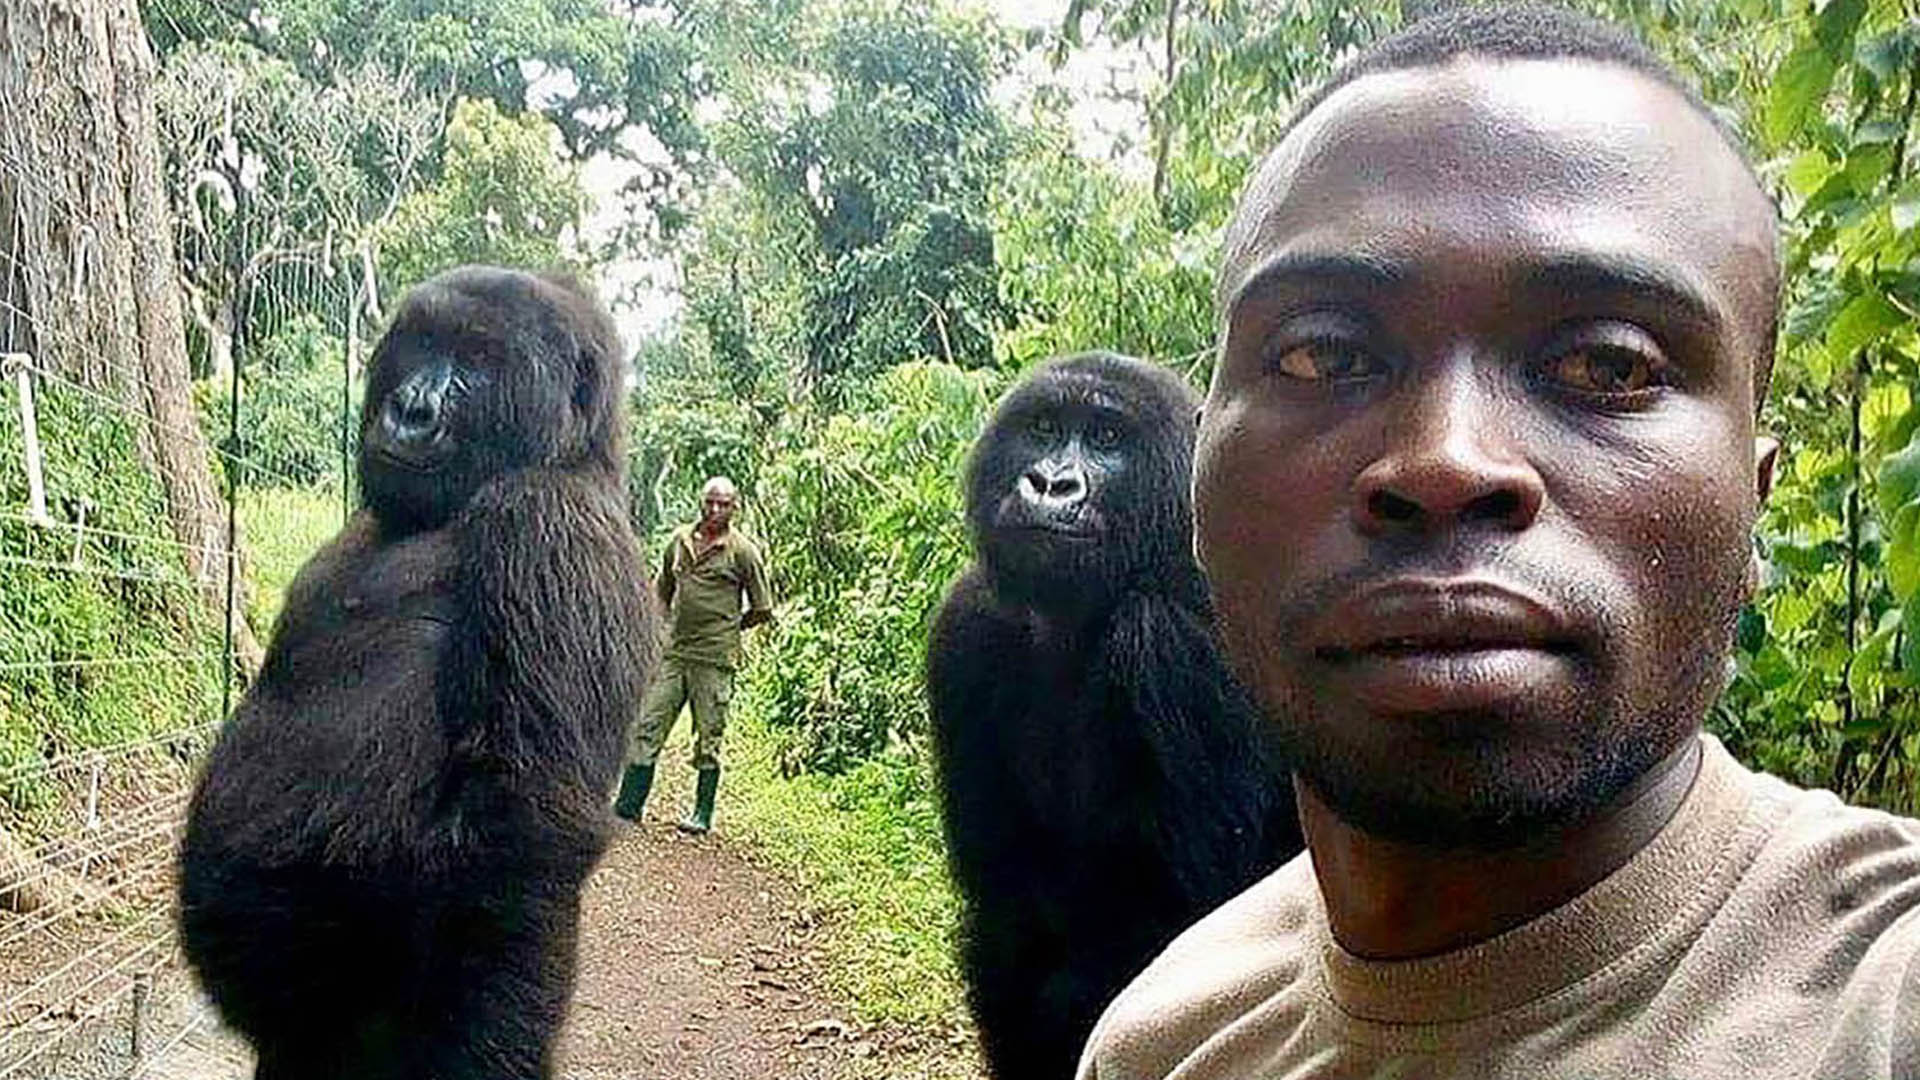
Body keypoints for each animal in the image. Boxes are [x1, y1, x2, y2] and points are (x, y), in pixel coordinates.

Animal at [929, 349, 1305, 1068]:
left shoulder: (1173, 635)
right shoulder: (967, 625)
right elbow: (1006, 916)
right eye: (1044, 428)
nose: (1050, 483)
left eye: (1106, 439)